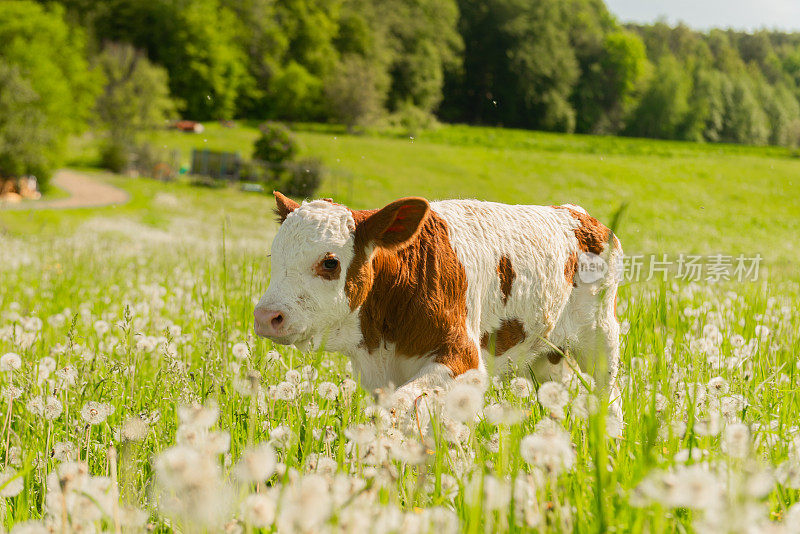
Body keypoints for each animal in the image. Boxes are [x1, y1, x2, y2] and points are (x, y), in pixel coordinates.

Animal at [256, 192, 624, 414]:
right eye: (274, 255)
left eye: (330, 262)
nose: (266, 316)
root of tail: (576, 214)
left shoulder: (464, 359)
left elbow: (401, 406)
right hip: (547, 356)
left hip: (601, 337)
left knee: (609, 393)